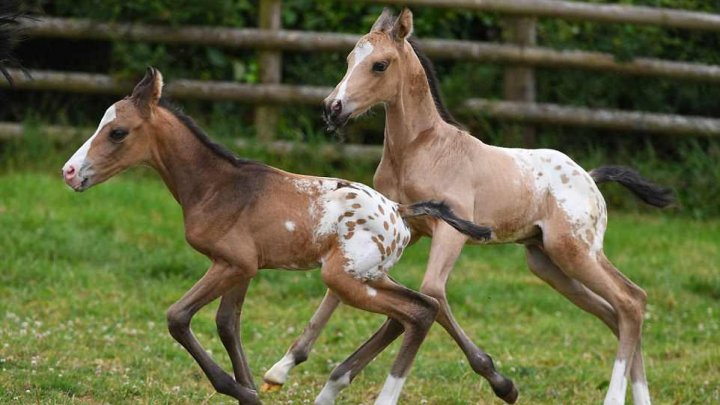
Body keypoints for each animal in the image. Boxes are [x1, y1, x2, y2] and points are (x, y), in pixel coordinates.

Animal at [266, 7, 676, 404]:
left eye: (379, 65)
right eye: (350, 59)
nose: (332, 109)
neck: (420, 149)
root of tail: (589, 177)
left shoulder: (451, 230)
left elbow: (432, 292)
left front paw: (502, 383)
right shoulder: (403, 227)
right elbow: (343, 291)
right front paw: (282, 367)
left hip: (575, 251)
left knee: (631, 301)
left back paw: (615, 396)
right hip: (547, 262)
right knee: (616, 311)